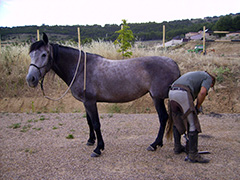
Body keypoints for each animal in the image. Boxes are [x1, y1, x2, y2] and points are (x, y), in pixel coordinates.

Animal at [26, 33, 180, 157]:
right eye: (31, 55)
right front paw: (90, 140)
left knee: (163, 118)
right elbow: (89, 121)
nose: (30, 79)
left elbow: (96, 123)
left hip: (157, 98)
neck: (81, 68)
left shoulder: (90, 102)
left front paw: (98, 148)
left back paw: (154, 144)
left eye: (44, 54)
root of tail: (173, 63)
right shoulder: (86, 102)